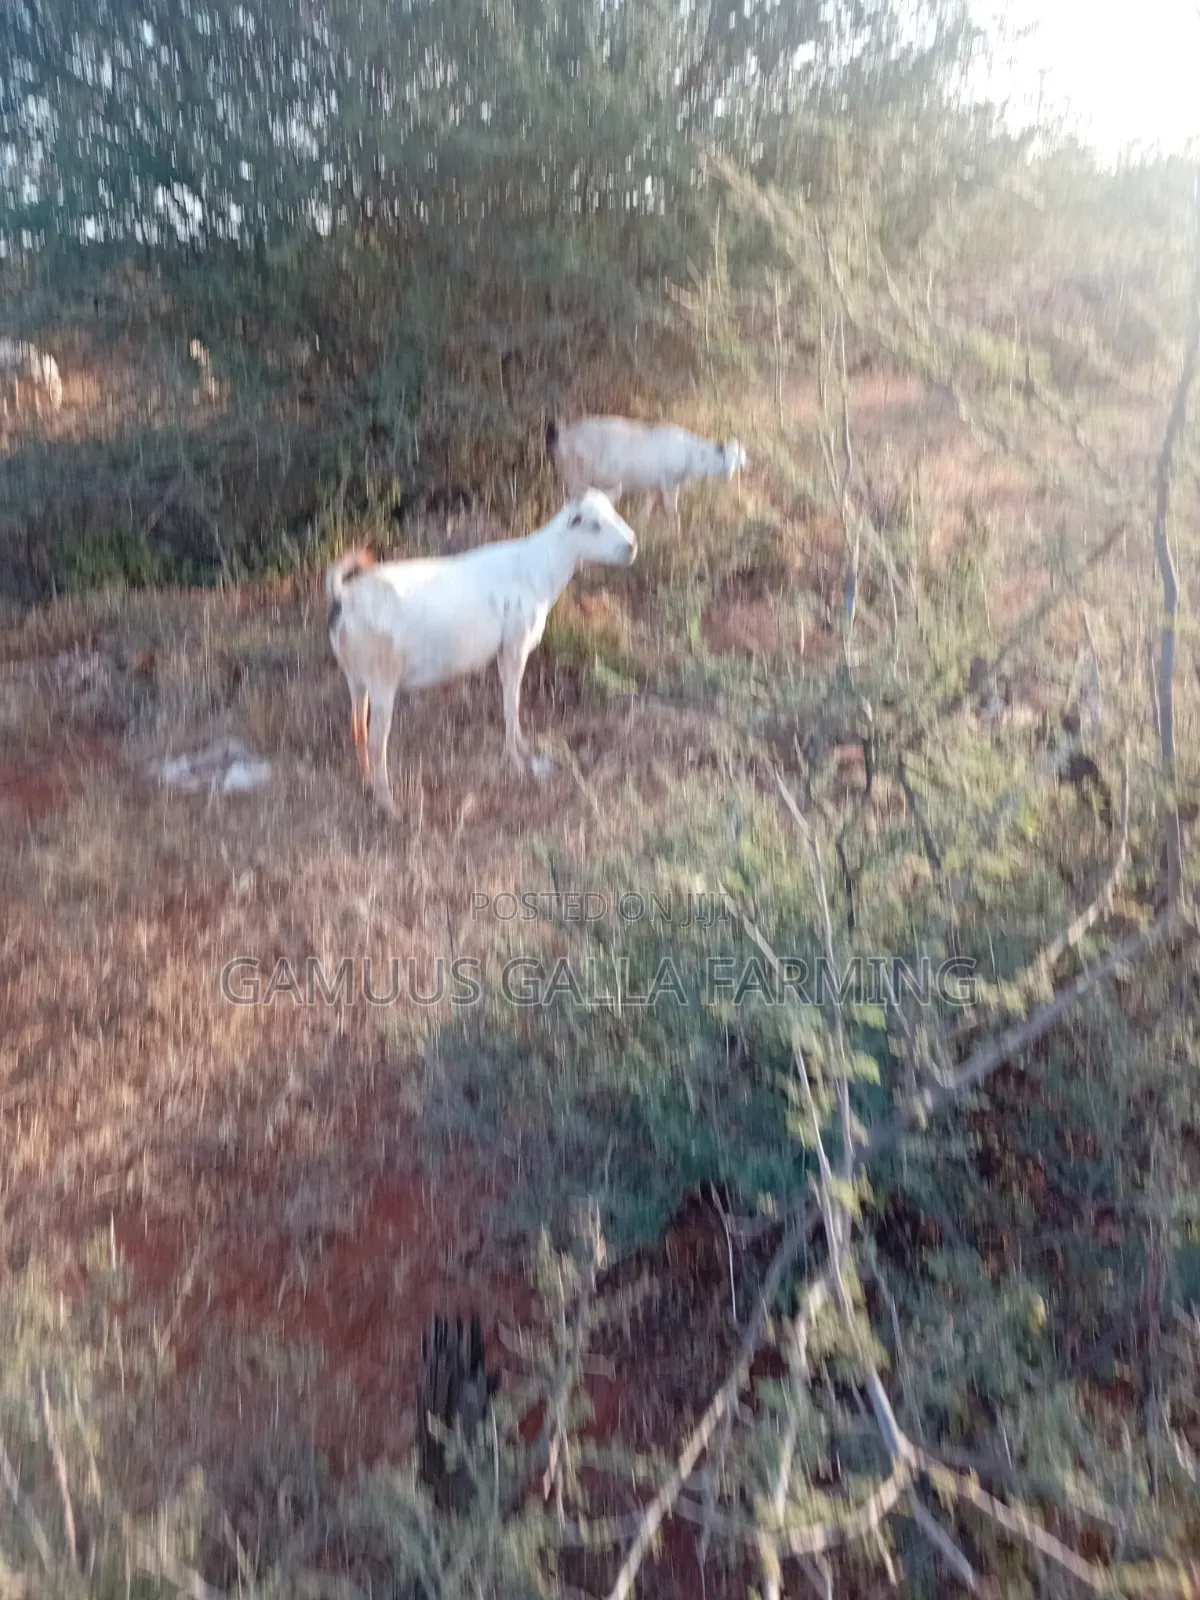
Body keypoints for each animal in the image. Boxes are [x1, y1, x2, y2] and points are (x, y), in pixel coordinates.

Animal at [325, 489, 638, 815]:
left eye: (613, 512)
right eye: (593, 524)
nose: (631, 546)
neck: (539, 569)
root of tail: (343, 598)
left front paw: (525, 750)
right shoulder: (514, 645)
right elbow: (511, 703)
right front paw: (519, 763)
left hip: (356, 677)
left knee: (357, 730)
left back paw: (369, 787)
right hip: (382, 678)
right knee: (376, 743)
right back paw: (391, 807)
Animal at [546, 415, 746, 520]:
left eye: (738, 460)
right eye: (725, 457)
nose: (728, 475)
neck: (692, 455)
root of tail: (562, 437)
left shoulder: (654, 484)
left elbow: (647, 507)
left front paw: (641, 524)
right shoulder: (669, 482)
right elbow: (671, 509)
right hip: (579, 474)